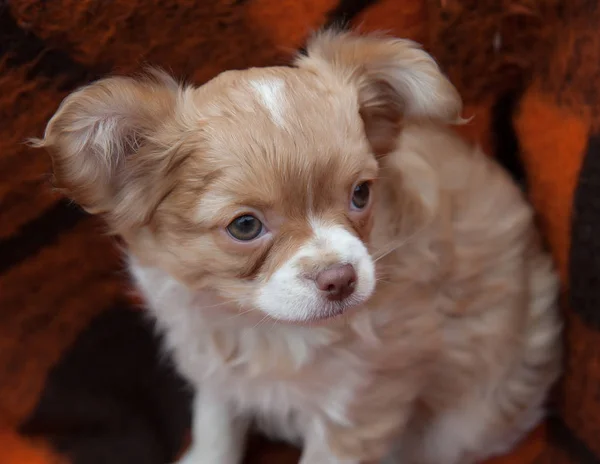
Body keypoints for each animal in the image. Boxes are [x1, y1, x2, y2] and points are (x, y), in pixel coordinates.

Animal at [36, 31, 564, 464]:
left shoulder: (358, 408)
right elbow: (215, 431)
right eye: (245, 226)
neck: (259, 328)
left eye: (361, 194)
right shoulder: (217, 375)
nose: (341, 279)